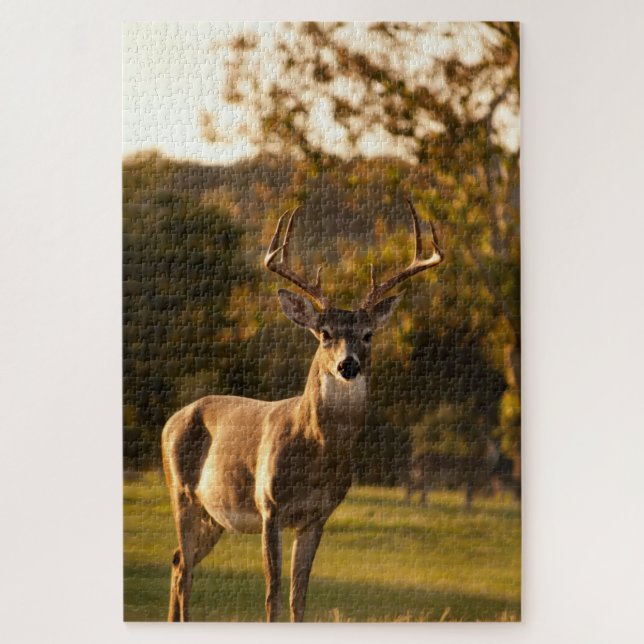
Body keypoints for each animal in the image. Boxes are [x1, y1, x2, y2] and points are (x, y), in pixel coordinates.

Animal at [161, 199, 444, 622]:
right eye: (325, 333)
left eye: (368, 335)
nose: (348, 364)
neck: (316, 452)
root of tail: (171, 420)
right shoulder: (270, 507)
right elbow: (273, 594)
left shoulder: (317, 517)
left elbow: (299, 597)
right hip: (181, 492)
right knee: (184, 568)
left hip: (214, 514)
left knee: (180, 561)